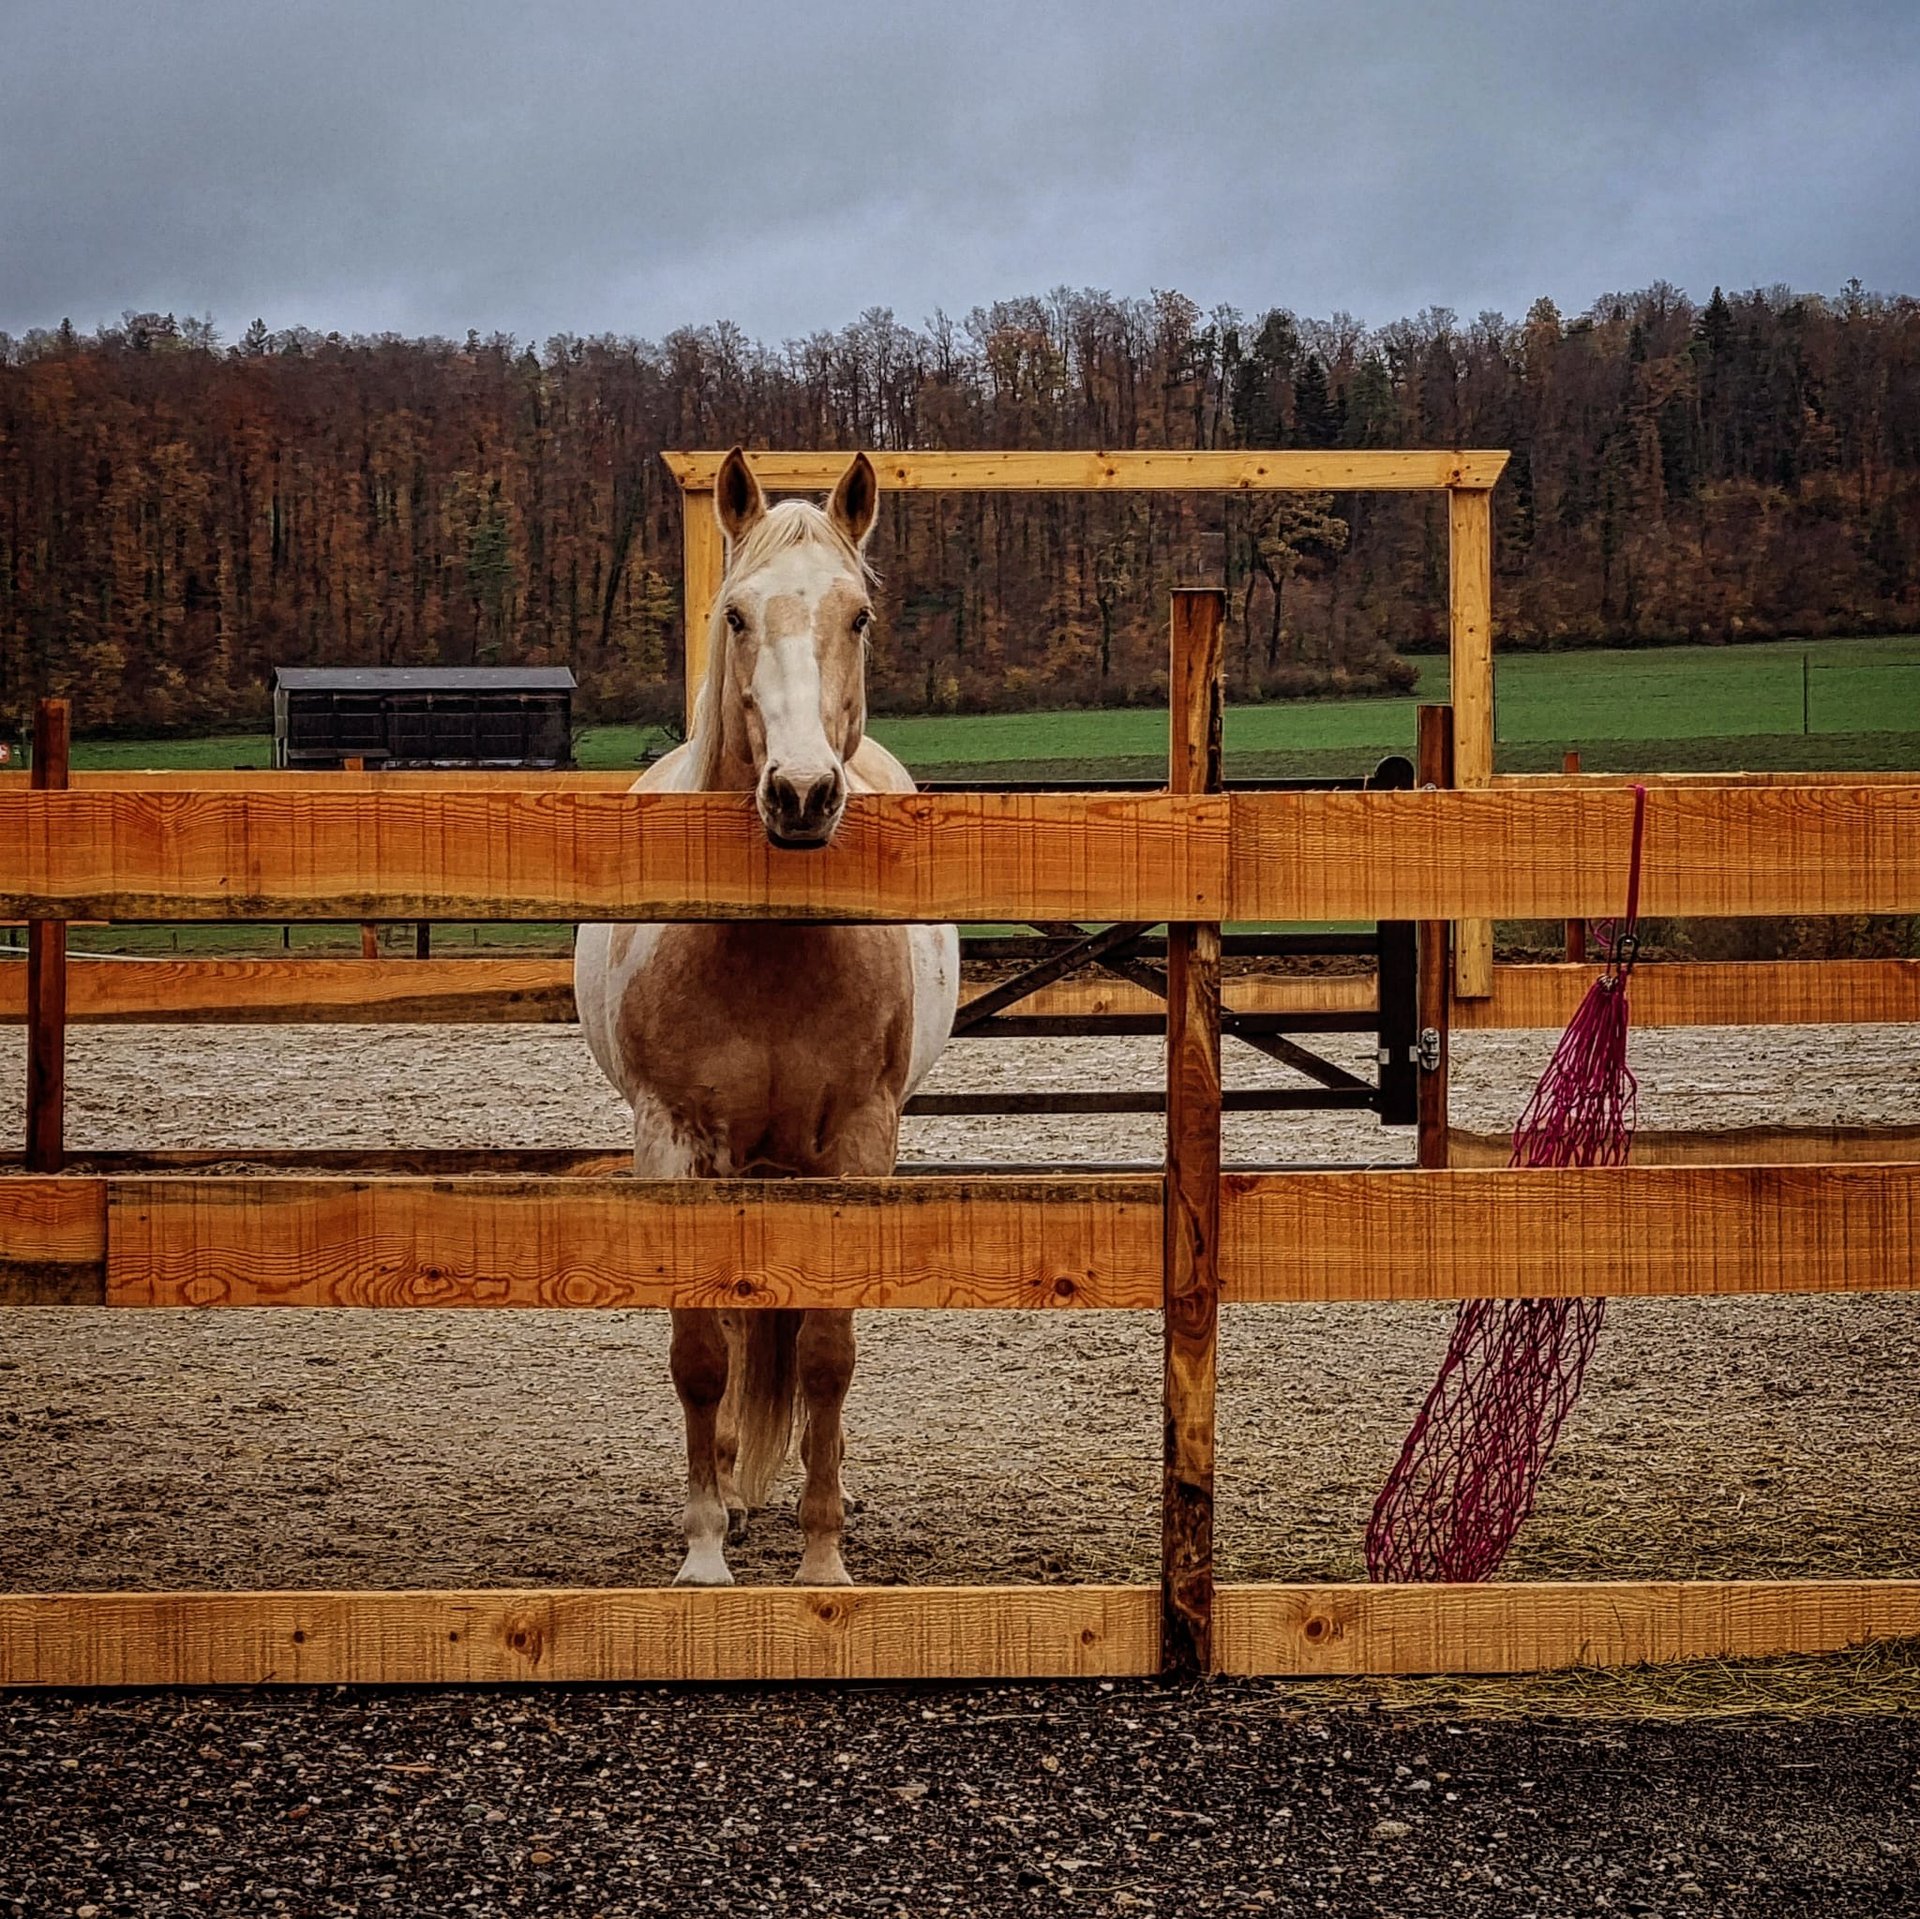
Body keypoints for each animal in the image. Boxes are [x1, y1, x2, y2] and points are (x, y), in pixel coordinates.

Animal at [568, 449, 960, 1590]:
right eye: (734, 614)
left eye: (859, 616)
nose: (800, 793)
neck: (773, 945)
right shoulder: (675, 1143)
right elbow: (703, 1348)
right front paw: (706, 1549)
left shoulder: (859, 1146)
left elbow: (827, 1348)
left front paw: (824, 1557)